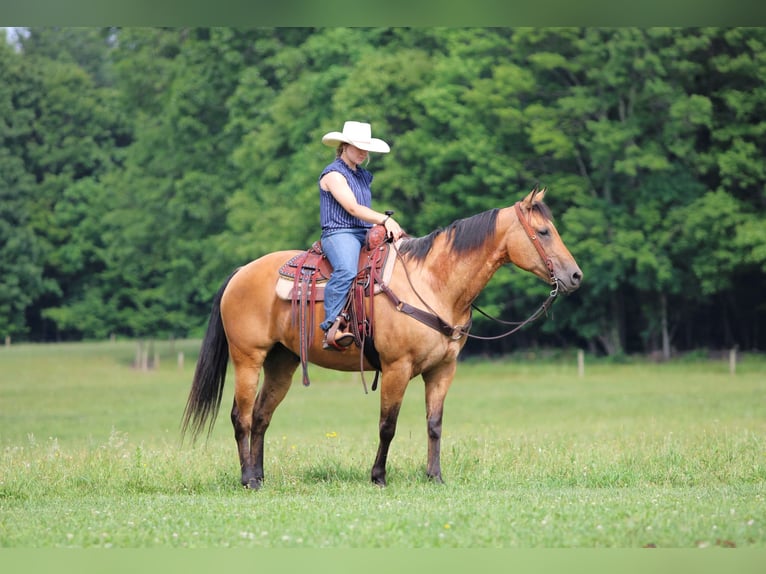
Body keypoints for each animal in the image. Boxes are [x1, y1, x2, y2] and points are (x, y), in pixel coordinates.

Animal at [182, 187, 582, 489]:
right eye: (543, 232)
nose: (576, 276)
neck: (433, 282)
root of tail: (241, 272)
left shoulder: (443, 370)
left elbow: (434, 424)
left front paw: (435, 477)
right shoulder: (396, 368)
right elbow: (387, 425)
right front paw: (378, 477)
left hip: (283, 362)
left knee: (262, 416)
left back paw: (260, 476)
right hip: (247, 358)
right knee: (242, 417)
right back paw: (247, 479)